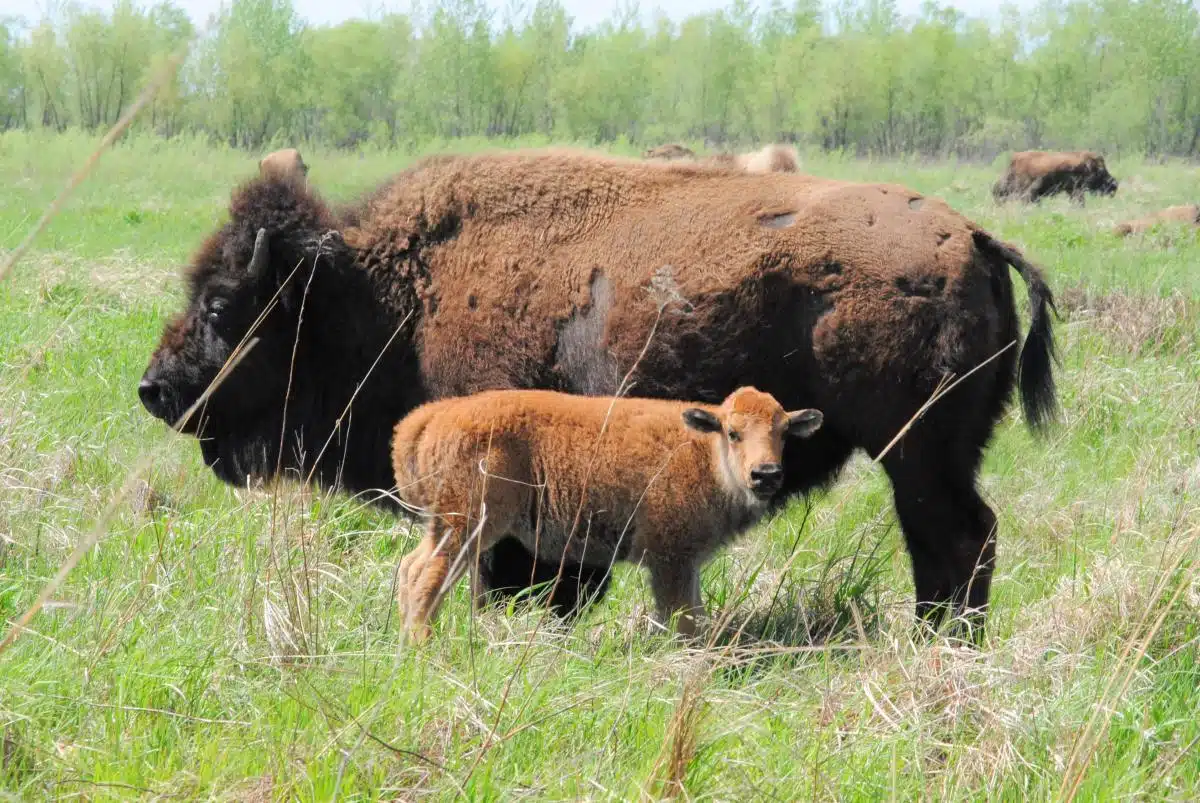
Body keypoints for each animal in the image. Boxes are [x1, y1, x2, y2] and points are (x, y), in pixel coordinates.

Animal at [138, 148, 1058, 639]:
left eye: (221, 305)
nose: (155, 388)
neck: (389, 291)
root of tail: (973, 237)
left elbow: (524, 574)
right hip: (934, 456)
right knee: (961, 539)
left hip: (918, 454)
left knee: (954, 540)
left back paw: (941, 642)